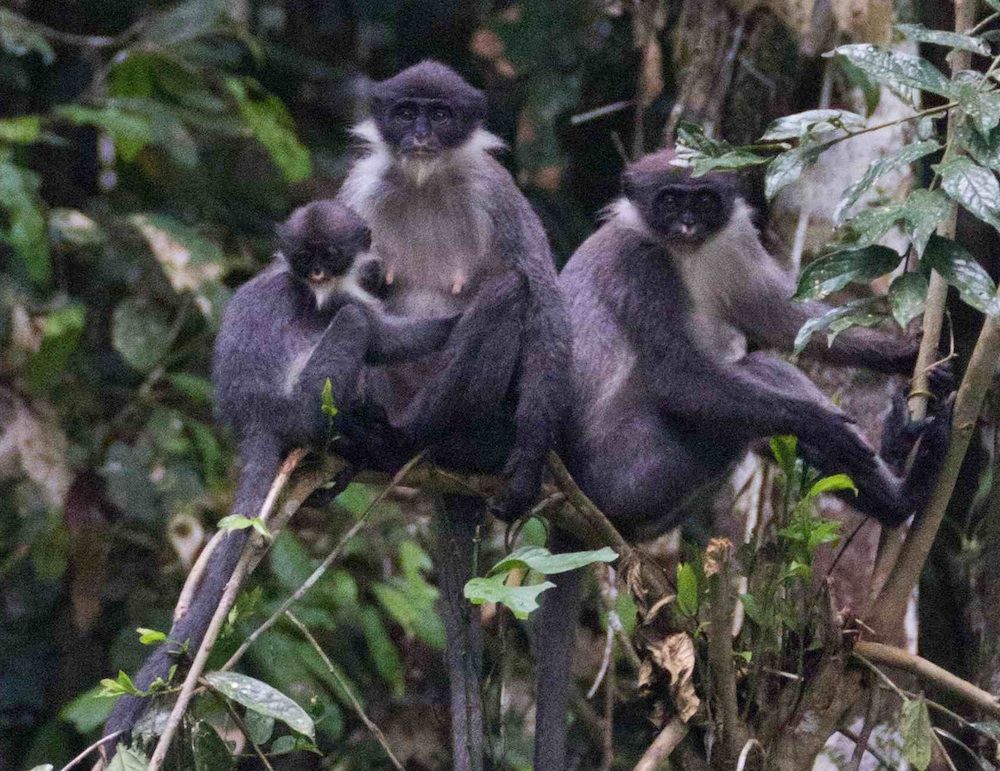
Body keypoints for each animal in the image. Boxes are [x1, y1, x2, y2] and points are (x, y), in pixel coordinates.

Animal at [102, 199, 458, 748]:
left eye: (328, 255)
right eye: (305, 258)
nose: (316, 275)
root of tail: (259, 417)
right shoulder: (331, 303)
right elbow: (381, 338)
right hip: (308, 404)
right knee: (353, 328)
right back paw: (354, 439)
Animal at [336, 60, 572, 771]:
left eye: (439, 116)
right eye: (406, 111)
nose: (418, 135)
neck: (425, 180)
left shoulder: (493, 189)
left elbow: (544, 302)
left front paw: (527, 468)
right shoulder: (361, 190)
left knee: (510, 291)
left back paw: (420, 442)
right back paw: (376, 441)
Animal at [528, 149, 956, 771]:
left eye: (702, 200)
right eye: (669, 201)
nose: (686, 225)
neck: (686, 256)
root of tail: (573, 502)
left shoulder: (733, 244)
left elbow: (789, 324)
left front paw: (905, 355)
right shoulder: (640, 263)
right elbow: (680, 377)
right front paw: (825, 427)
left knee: (762, 373)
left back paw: (899, 481)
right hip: (634, 472)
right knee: (736, 387)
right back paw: (902, 488)